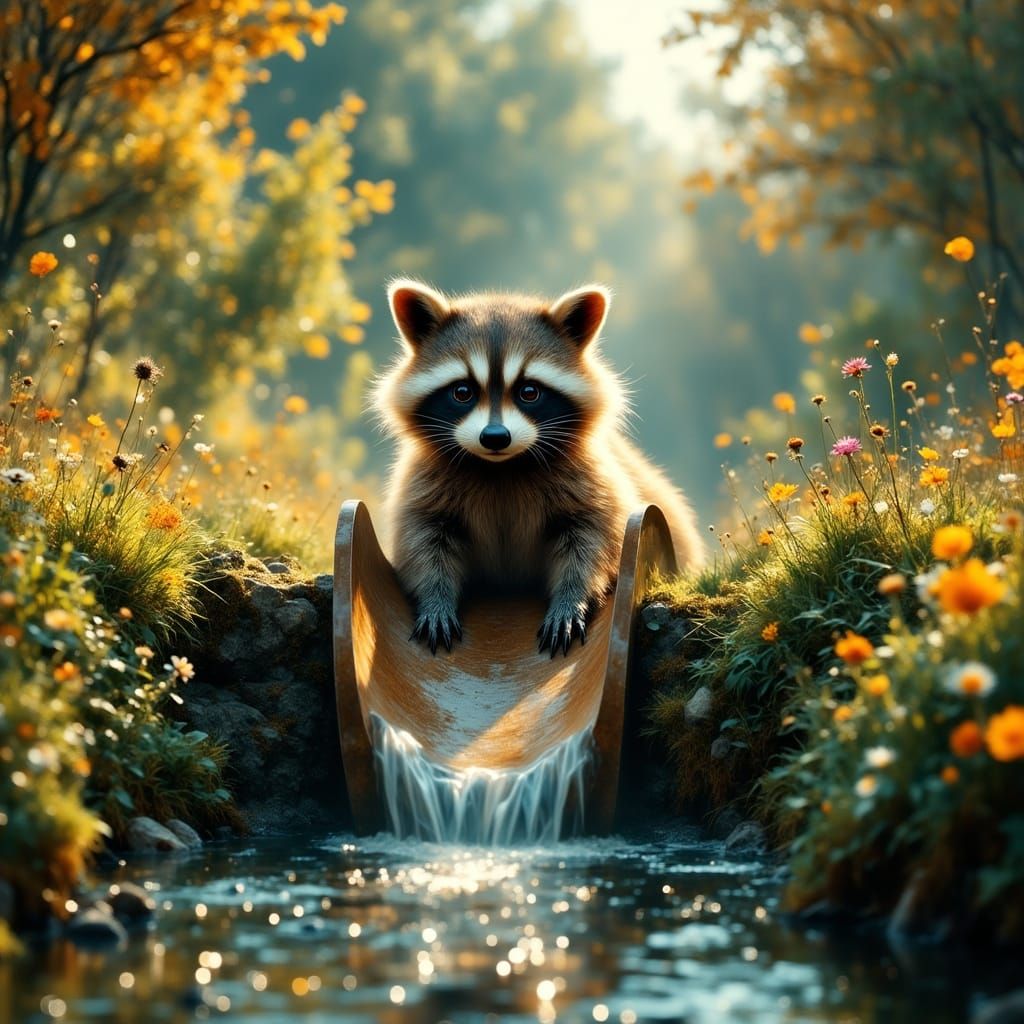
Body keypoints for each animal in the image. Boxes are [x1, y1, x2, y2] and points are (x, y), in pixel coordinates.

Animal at [373, 279, 704, 656]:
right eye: (462, 392)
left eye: (529, 391)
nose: (495, 437)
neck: (502, 468)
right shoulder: (425, 481)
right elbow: (424, 541)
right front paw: (435, 598)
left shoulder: (591, 479)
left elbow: (593, 541)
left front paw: (571, 598)